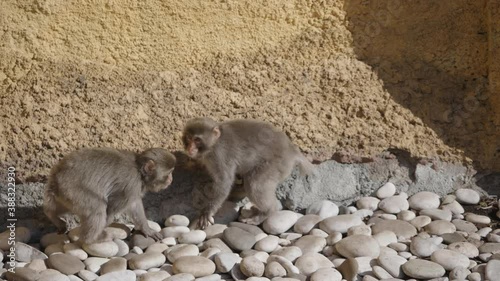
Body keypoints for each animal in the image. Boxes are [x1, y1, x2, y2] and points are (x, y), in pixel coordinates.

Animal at [44, 148, 176, 242]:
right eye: (168, 173)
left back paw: (52, 216)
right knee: (97, 207)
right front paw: (105, 226)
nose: (171, 179)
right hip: (73, 190)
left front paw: (147, 229)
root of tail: (57, 177)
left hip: (64, 194)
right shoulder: (131, 185)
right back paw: (92, 239)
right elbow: (112, 208)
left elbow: (135, 206)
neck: (139, 171)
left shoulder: (134, 189)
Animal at [182, 116, 312, 228]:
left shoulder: (220, 156)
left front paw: (207, 212)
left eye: (197, 140)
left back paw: (266, 212)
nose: (189, 148)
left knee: (254, 184)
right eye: (188, 137)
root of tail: (292, 150)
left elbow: (224, 183)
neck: (214, 144)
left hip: (276, 164)